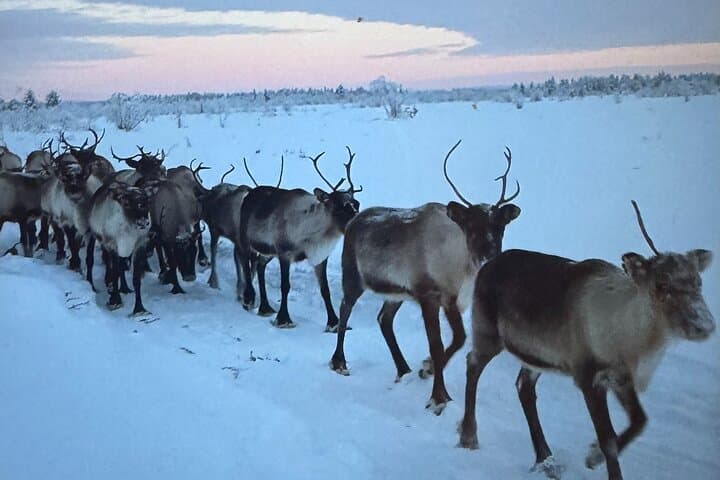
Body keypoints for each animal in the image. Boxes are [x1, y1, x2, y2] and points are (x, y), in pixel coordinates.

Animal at [238, 148, 361, 329]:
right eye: (339, 207)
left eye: (356, 204)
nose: (359, 222)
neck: (315, 234)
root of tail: (248, 194)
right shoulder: (284, 252)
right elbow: (285, 286)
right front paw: (284, 319)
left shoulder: (320, 257)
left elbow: (325, 290)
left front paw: (333, 322)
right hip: (246, 239)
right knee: (245, 262)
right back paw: (248, 299)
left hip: (269, 251)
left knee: (260, 265)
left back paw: (265, 307)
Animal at [330, 141, 521, 415]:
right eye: (471, 226)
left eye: (500, 226)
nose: (489, 257)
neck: (461, 267)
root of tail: (354, 220)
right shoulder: (428, 296)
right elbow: (437, 345)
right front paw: (438, 397)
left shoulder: (452, 301)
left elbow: (459, 339)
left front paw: (427, 368)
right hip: (354, 277)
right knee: (345, 309)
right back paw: (339, 362)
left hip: (396, 293)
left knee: (384, 319)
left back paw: (404, 369)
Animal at [457, 201, 716, 480]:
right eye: (661, 284)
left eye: (698, 282)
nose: (704, 325)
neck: (635, 343)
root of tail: (488, 264)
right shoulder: (588, 375)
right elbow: (608, 440)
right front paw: (596, 456)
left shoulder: (621, 377)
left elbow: (640, 421)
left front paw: (593, 456)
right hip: (488, 332)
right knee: (473, 363)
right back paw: (469, 435)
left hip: (536, 355)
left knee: (524, 386)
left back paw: (544, 458)